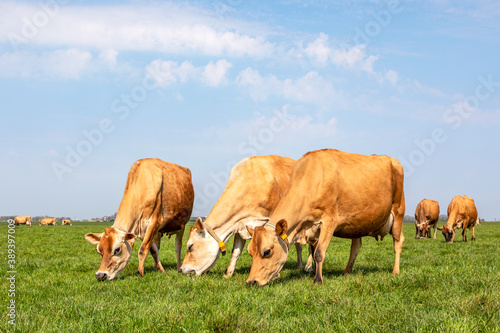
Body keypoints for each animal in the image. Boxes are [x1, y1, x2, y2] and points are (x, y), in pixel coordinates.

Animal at [246, 149, 406, 284]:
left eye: (267, 251)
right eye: (250, 252)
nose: (251, 282)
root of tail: (391, 159)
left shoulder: (330, 221)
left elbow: (318, 253)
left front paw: (318, 280)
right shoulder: (313, 227)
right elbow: (313, 251)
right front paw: (312, 273)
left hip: (398, 212)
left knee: (398, 242)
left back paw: (395, 271)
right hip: (358, 222)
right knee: (356, 246)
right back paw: (347, 272)